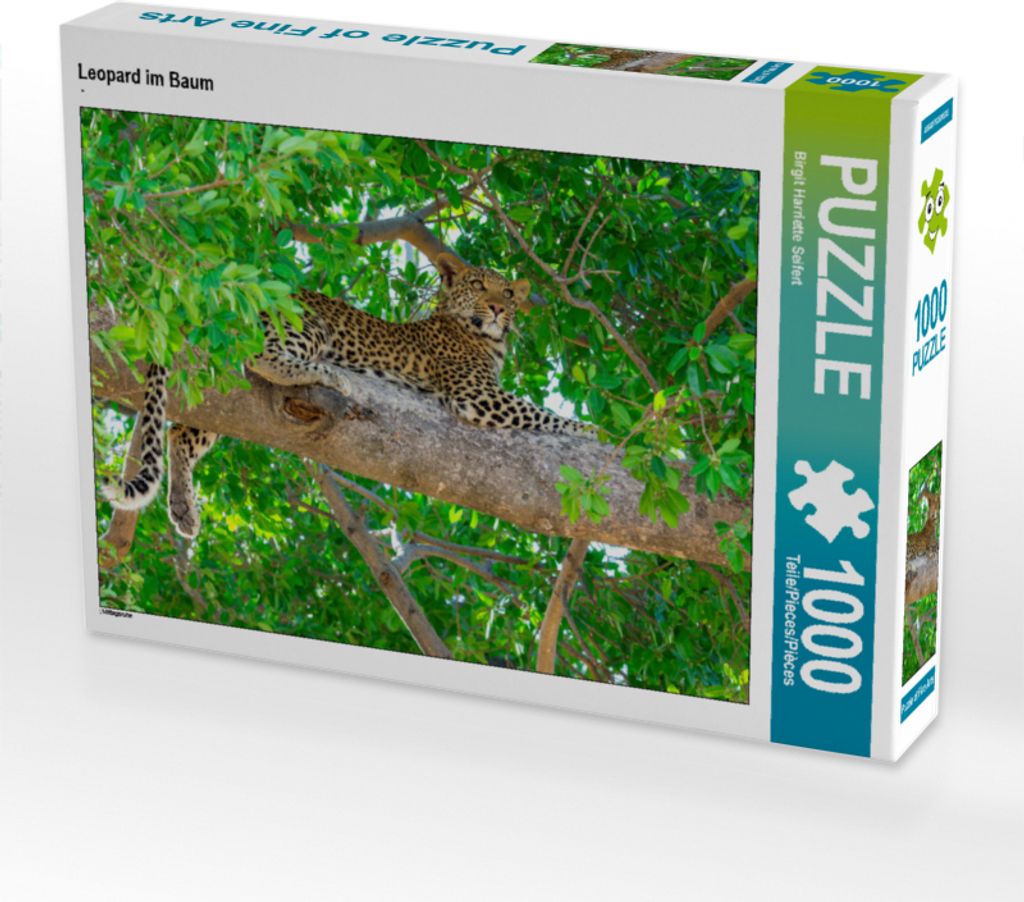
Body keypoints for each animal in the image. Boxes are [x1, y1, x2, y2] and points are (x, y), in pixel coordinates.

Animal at [103, 252, 591, 539]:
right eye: (477, 285)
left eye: (507, 291)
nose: (496, 307)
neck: (486, 338)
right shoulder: (477, 393)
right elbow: (542, 414)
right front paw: (590, 430)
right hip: (307, 325)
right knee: (263, 357)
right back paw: (330, 376)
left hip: (223, 398)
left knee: (180, 433)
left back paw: (184, 507)